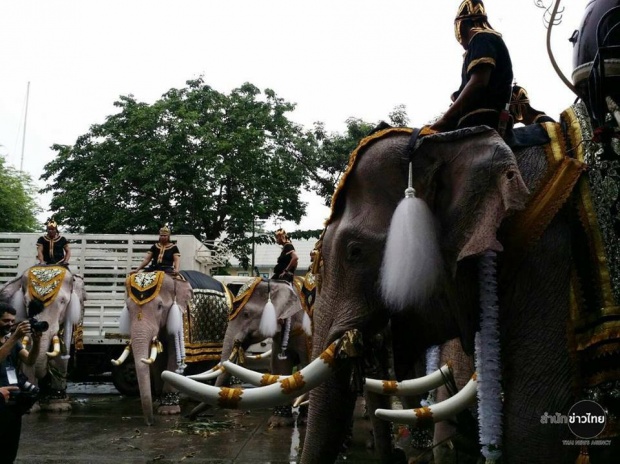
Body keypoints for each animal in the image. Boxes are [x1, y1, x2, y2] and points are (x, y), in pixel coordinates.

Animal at [115, 268, 231, 424]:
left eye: (159, 306)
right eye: (127, 307)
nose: (150, 423)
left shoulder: (180, 317)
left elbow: (174, 356)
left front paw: (168, 411)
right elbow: (158, 360)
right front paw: (158, 403)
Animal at [188, 276, 314, 428]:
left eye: (246, 314)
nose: (190, 417)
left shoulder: (306, 331)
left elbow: (306, 364)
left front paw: (303, 421)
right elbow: (280, 365)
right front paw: (278, 423)